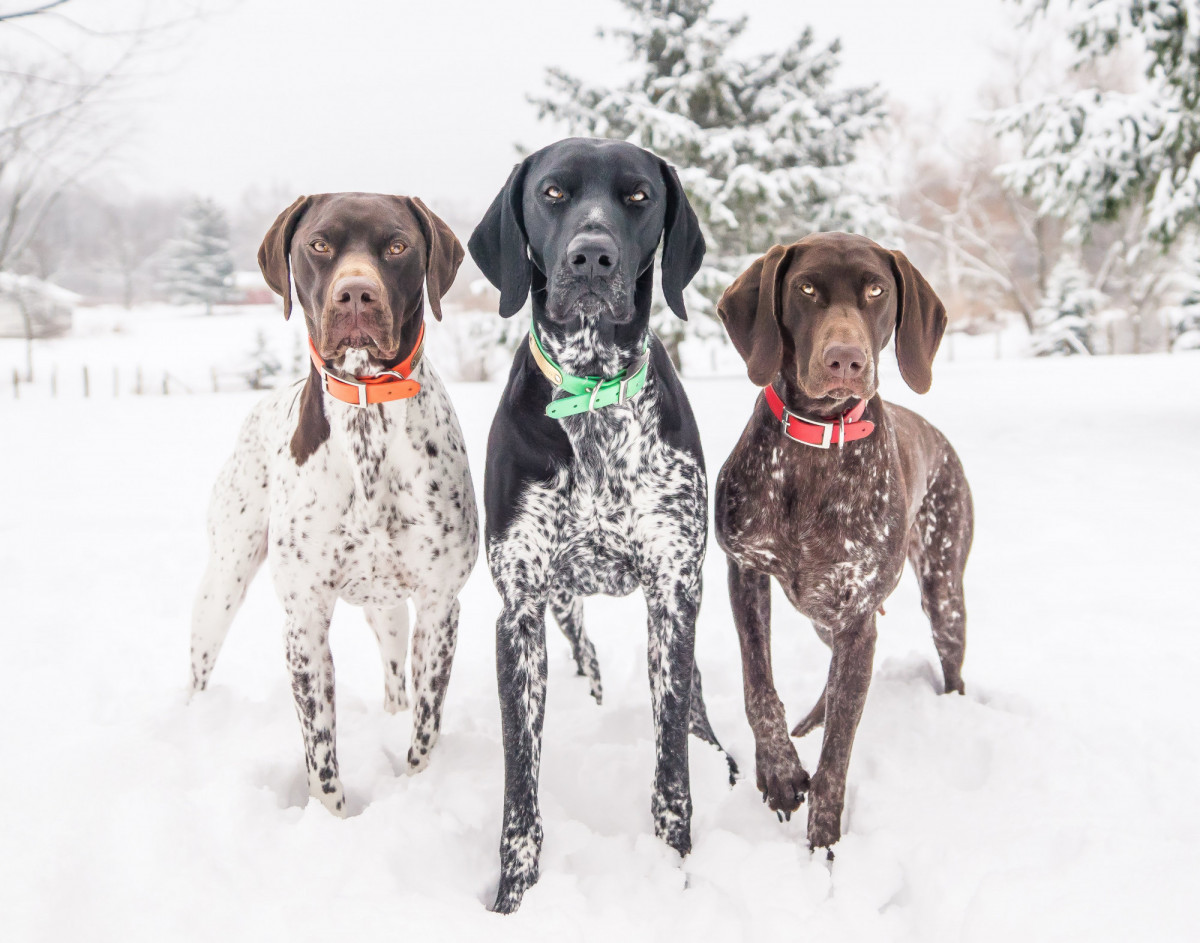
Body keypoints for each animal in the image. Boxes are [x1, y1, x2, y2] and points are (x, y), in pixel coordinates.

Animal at [187, 193, 477, 815]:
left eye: (397, 245)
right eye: (318, 244)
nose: (356, 295)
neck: (367, 409)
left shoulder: (439, 606)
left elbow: (425, 727)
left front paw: (415, 791)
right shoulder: (305, 622)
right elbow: (320, 754)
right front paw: (332, 820)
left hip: (389, 605)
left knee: (395, 676)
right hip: (223, 579)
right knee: (200, 660)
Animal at [465, 136, 729, 907]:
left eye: (638, 196)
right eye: (553, 192)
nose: (591, 257)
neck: (592, 391)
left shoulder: (674, 593)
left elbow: (672, 765)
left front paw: (676, 872)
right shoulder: (520, 610)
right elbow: (521, 784)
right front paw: (514, 897)